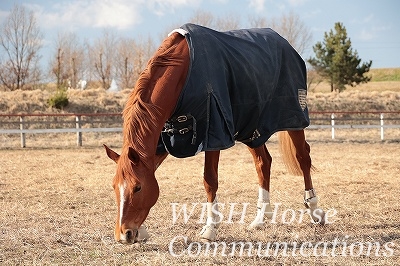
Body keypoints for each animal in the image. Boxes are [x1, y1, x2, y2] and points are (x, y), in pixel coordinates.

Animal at [104, 26, 324, 243]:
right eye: (114, 187)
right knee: (263, 163)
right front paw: (142, 230)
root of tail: (285, 44)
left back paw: (314, 209)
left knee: (303, 157)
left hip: (294, 118)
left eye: (137, 187)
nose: (124, 234)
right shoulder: (166, 138)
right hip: (252, 127)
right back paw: (261, 217)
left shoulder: (213, 132)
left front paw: (210, 228)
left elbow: (209, 180)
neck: (183, 72)